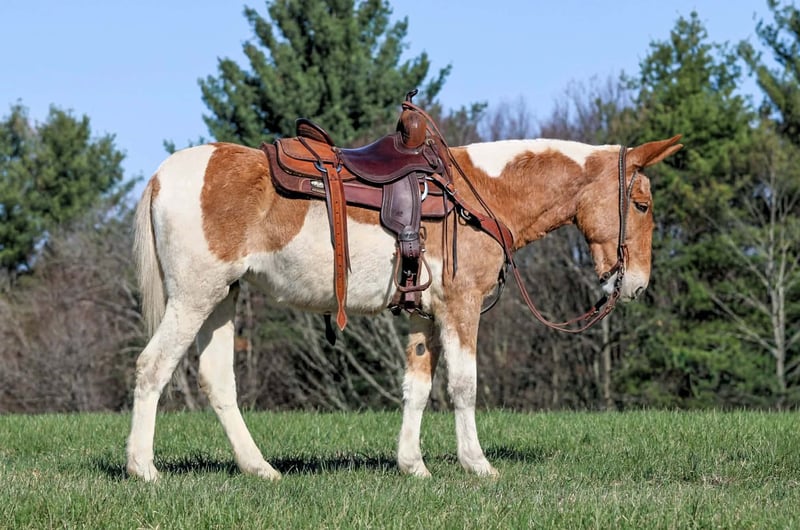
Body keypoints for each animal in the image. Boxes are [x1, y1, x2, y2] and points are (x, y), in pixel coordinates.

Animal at [126, 128, 682, 481]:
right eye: (642, 205)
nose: (636, 285)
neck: (481, 195)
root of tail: (162, 175)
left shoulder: (424, 317)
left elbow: (417, 387)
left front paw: (413, 466)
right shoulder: (460, 308)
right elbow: (463, 386)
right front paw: (477, 464)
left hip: (222, 298)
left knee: (218, 381)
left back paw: (259, 469)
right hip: (194, 297)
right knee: (152, 367)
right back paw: (143, 468)